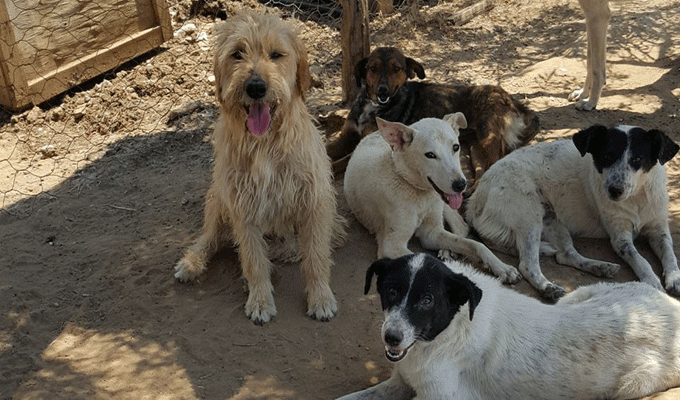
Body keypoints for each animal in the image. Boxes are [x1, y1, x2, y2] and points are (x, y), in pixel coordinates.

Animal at [175, 12, 346, 324]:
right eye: (237, 54)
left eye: (276, 54)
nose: (255, 87)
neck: (264, 143)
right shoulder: (242, 206)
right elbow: (253, 260)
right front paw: (260, 300)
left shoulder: (315, 200)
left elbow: (315, 257)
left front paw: (320, 297)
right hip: (218, 196)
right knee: (212, 238)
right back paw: (193, 262)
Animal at [326, 46, 540, 188]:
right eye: (373, 68)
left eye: (397, 69)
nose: (382, 90)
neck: (373, 105)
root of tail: (514, 101)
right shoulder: (347, 136)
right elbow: (327, 150)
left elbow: (336, 163)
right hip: (476, 146)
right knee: (484, 170)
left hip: (488, 135)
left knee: (494, 163)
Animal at [338, 253, 680, 400]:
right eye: (391, 291)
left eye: (426, 300)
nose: (391, 337)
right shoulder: (401, 381)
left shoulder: (440, 397)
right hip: (580, 295)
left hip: (629, 388)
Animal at [342, 113, 524, 284]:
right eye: (430, 155)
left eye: (456, 147)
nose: (461, 184)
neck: (416, 191)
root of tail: (374, 134)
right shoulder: (391, 244)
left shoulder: (431, 232)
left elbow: (477, 245)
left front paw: (502, 268)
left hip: (444, 204)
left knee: (462, 226)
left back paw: (448, 250)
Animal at [468, 123, 680, 302]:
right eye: (606, 157)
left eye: (637, 159)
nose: (614, 190)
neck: (637, 199)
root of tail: (475, 201)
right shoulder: (620, 238)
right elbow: (641, 260)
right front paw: (652, 282)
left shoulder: (658, 229)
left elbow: (670, 253)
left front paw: (674, 277)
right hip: (529, 218)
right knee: (527, 265)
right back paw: (548, 287)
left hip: (553, 221)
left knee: (565, 255)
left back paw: (601, 267)